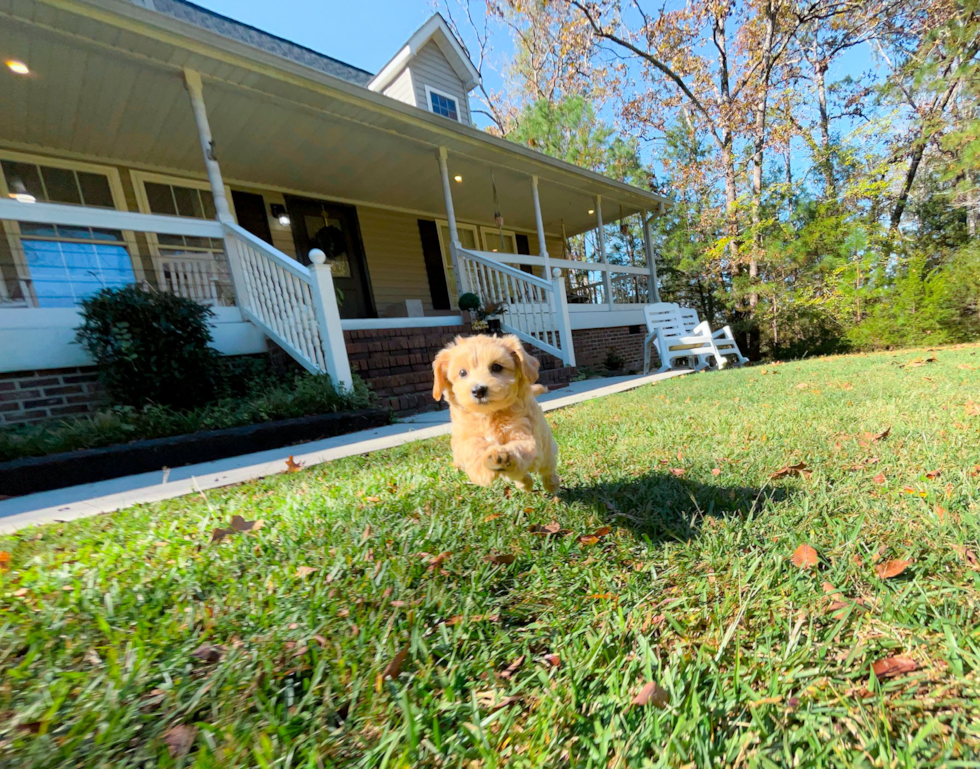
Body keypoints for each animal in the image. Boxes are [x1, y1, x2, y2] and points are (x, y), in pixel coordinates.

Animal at [434, 334, 564, 492]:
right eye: (462, 372)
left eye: (496, 367)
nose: (478, 390)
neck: (489, 414)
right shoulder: (463, 437)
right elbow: (470, 447)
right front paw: (482, 469)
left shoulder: (526, 434)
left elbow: (520, 447)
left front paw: (499, 456)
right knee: (519, 475)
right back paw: (524, 484)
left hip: (546, 451)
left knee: (547, 469)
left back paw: (551, 484)